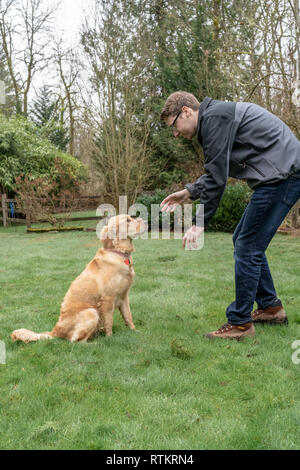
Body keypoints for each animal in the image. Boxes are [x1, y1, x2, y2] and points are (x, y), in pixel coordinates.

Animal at [12, 215, 146, 344]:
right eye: (128, 220)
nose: (145, 221)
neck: (118, 253)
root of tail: (55, 331)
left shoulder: (124, 296)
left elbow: (128, 316)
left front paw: (135, 332)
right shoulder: (108, 299)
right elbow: (109, 322)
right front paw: (110, 338)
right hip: (92, 312)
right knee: (76, 341)